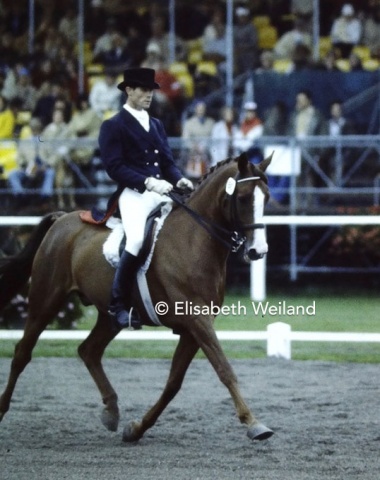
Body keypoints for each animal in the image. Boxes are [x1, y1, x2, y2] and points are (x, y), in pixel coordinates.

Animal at [0, 153, 274, 442]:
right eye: (243, 198)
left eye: (266, 197)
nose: (258, 251)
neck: (194, 240)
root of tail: (62, 219)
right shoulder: (197, 321)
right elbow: (224, 370)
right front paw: (254, 423)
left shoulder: (193, 328)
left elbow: (173, 383)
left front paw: (136, 429)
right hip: (45, 301)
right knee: (22, 353)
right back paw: (3, 409)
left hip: (109, 315)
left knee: (89, 350)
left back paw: (111, 410)